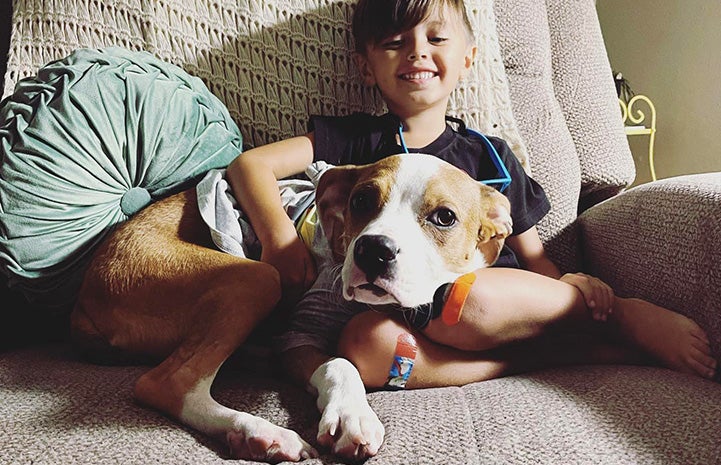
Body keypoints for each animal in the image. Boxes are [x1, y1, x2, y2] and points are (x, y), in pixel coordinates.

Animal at [70, 152, 512, 460]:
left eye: (444, 217)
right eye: (361, 200)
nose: (373, 250)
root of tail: (84, 297)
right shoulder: (301, 333)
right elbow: (339, 362)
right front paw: (352, 415)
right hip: (256, 279)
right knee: (166, 383)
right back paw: (258, 433)